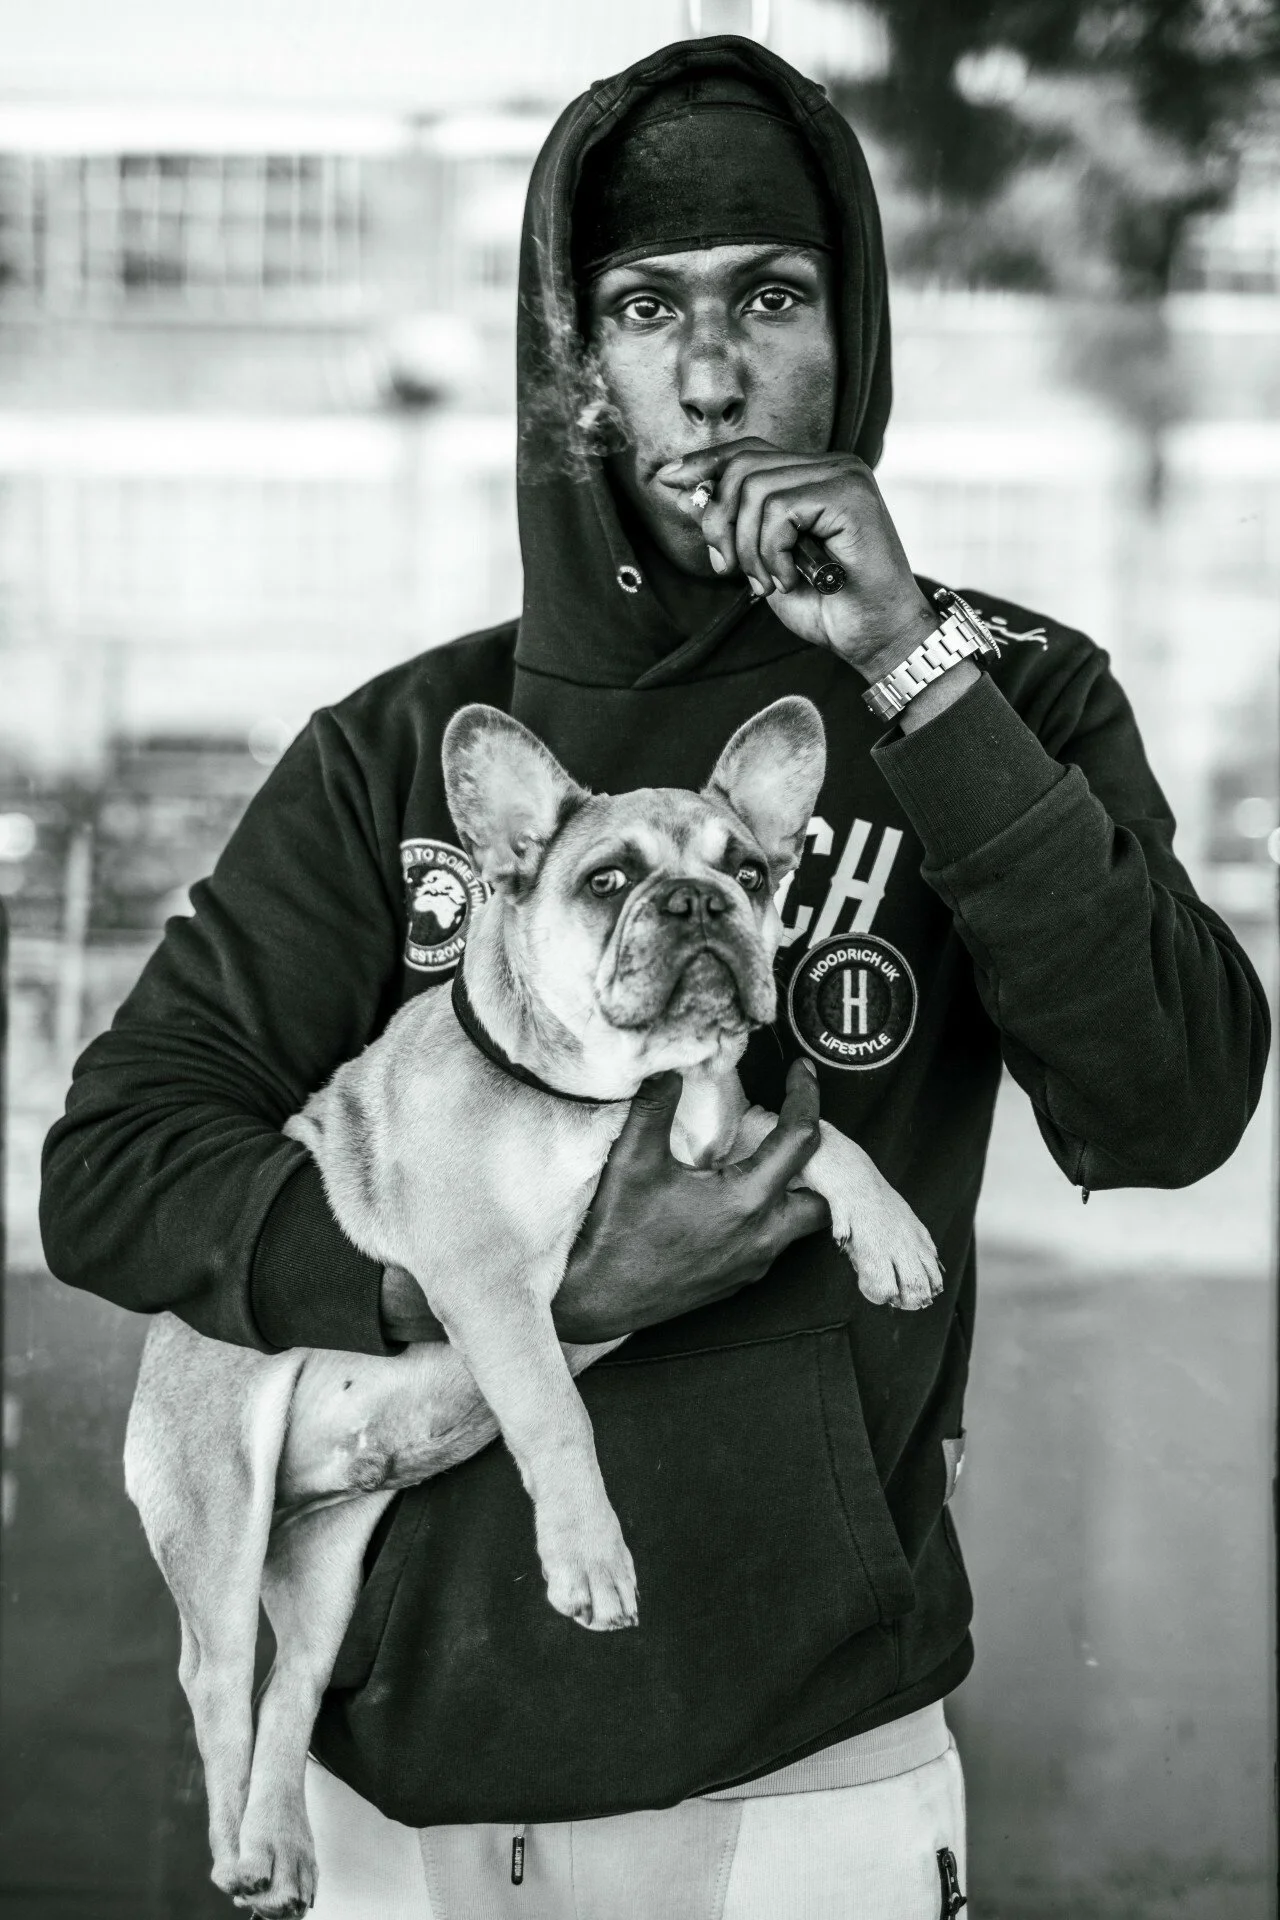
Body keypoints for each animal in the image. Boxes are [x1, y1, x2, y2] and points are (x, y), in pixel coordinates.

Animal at [124, 696, 941, 1916]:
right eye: (608, 882)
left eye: (750, 871)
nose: (699, 902)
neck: (618, 1088)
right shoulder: (484, 1279)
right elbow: (558, 1417)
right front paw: (590, 1561)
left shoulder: (730, 1139)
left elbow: (825, 1137)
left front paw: (891, 1235)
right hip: (217, 1504)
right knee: (214, 1676)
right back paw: (238, 1849)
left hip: (326, 1567)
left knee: (291, 1690)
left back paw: (282, 1842)